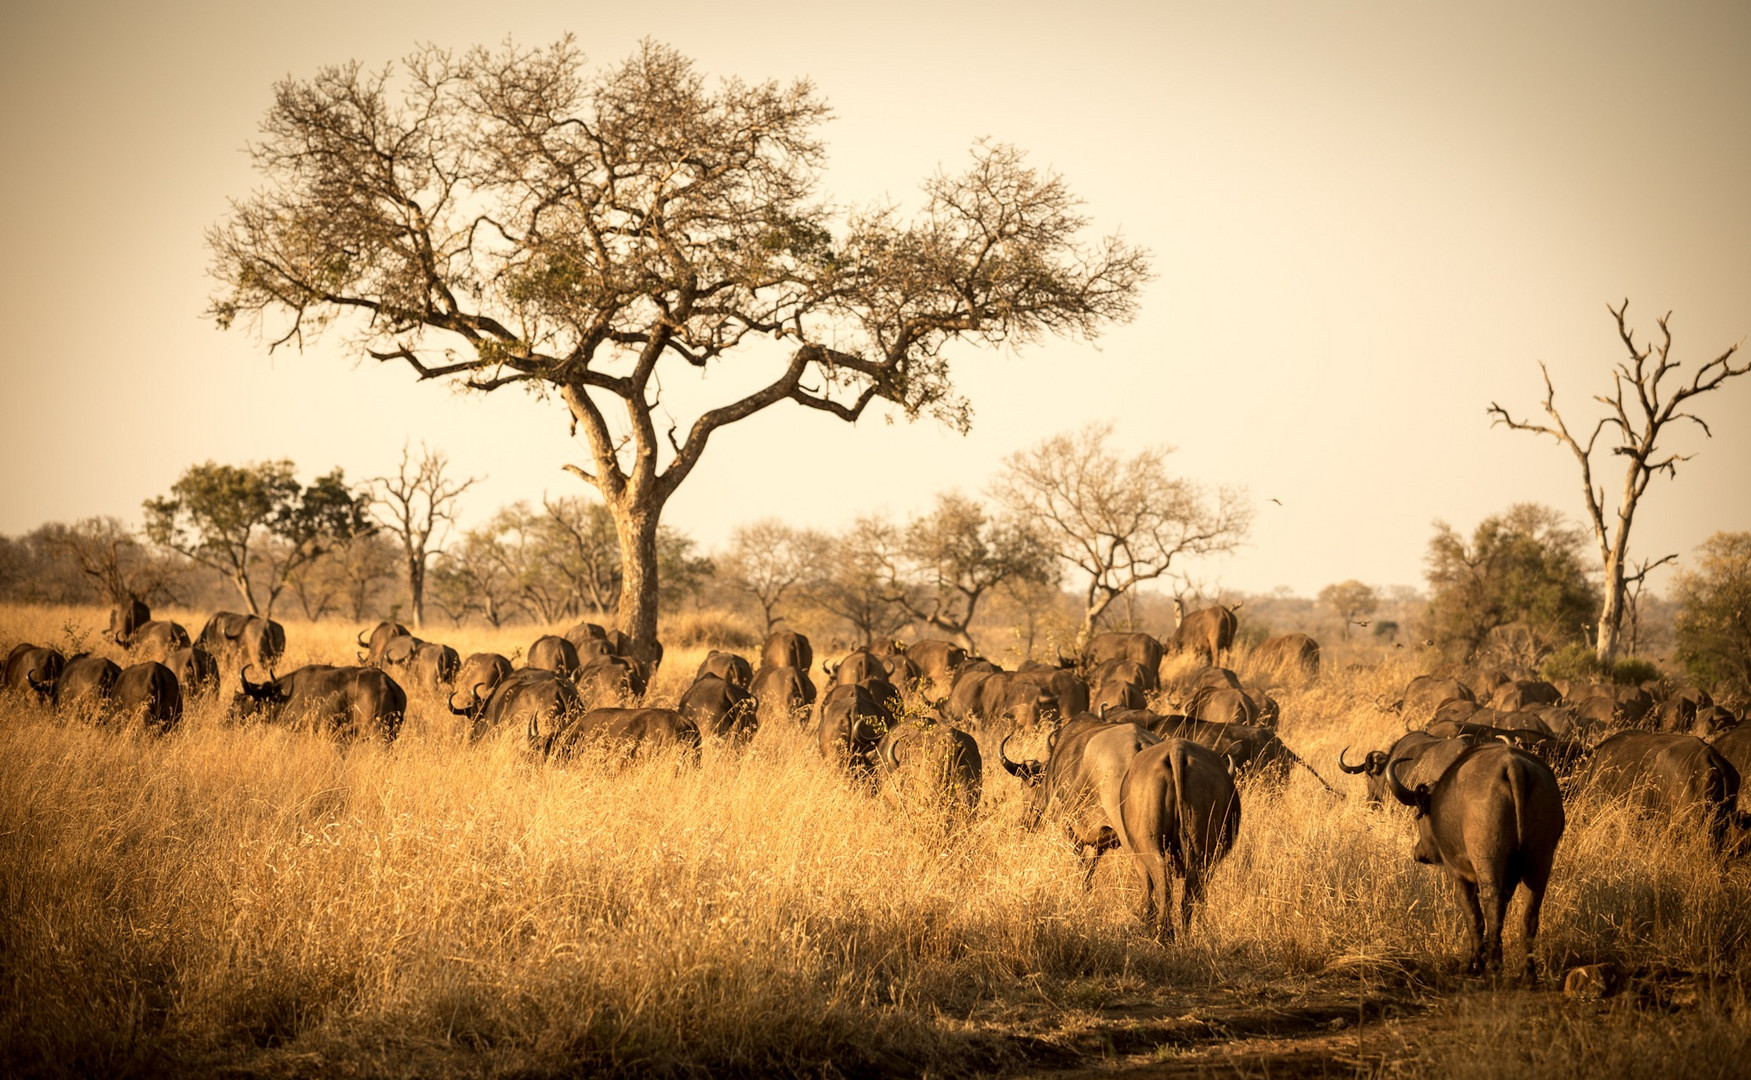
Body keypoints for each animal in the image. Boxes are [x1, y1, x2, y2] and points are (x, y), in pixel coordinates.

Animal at [1386, 742, 1568, 980]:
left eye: (1420, 815)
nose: (1419, 852)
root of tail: (1514, 766)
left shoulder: (1458, 875)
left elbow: (1474, 917)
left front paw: (1472, 965)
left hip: (1487, 858)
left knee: (1491, 902)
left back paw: (1493, 966)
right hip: (1539, 861)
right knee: (1529, 914)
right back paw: (1527, 973)